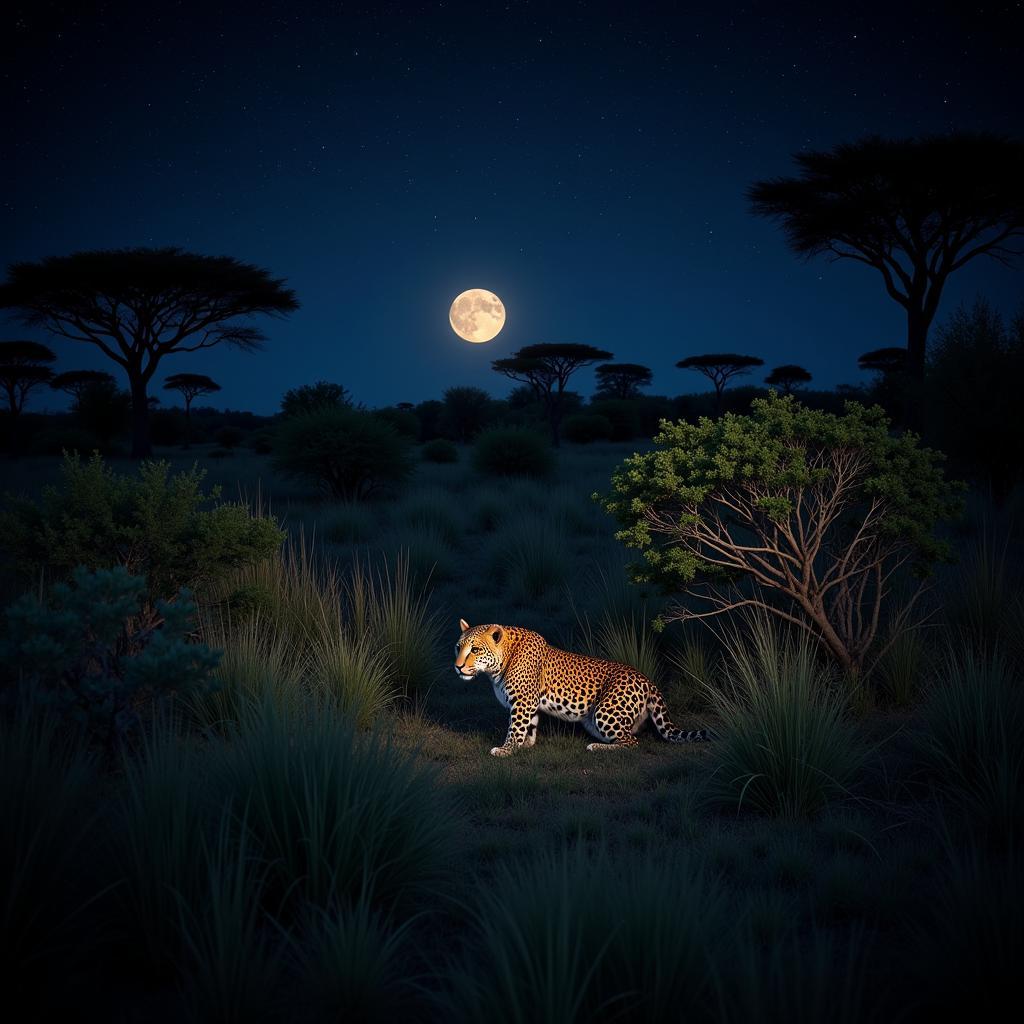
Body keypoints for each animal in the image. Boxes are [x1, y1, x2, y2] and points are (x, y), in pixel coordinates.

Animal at [456, 618, 712, 757]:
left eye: (475, 650)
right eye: (458, 647)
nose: (457, 667)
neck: (499, 663)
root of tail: (647, 680)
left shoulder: (522, 702)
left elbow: (515, 727)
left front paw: (506, 750)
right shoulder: (529, 704)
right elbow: (530, 726)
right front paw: (525, 746)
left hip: (604, 712)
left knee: (632, 743)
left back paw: (596, 748)